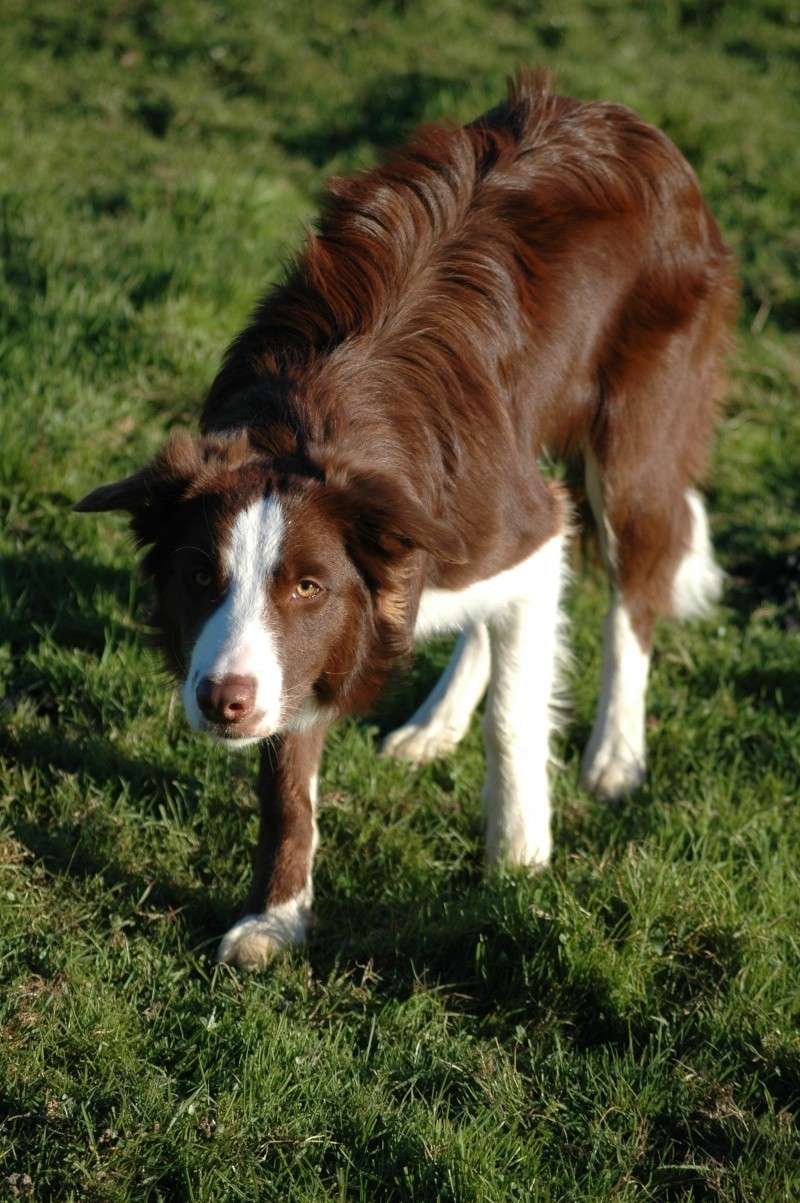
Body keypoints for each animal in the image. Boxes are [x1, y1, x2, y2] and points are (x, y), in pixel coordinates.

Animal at [76, 70, 736, 972]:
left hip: (633, 445)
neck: (310, 420)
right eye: (200, 576)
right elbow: (286, 781)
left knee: (632, 591)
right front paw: (277, 914)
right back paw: (434, 724)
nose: (221, 702)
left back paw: (615, 754)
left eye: (307, 584)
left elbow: (513, 719)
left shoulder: (520, 525)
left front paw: (519, 861)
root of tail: (622, 119)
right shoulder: (307, 647)